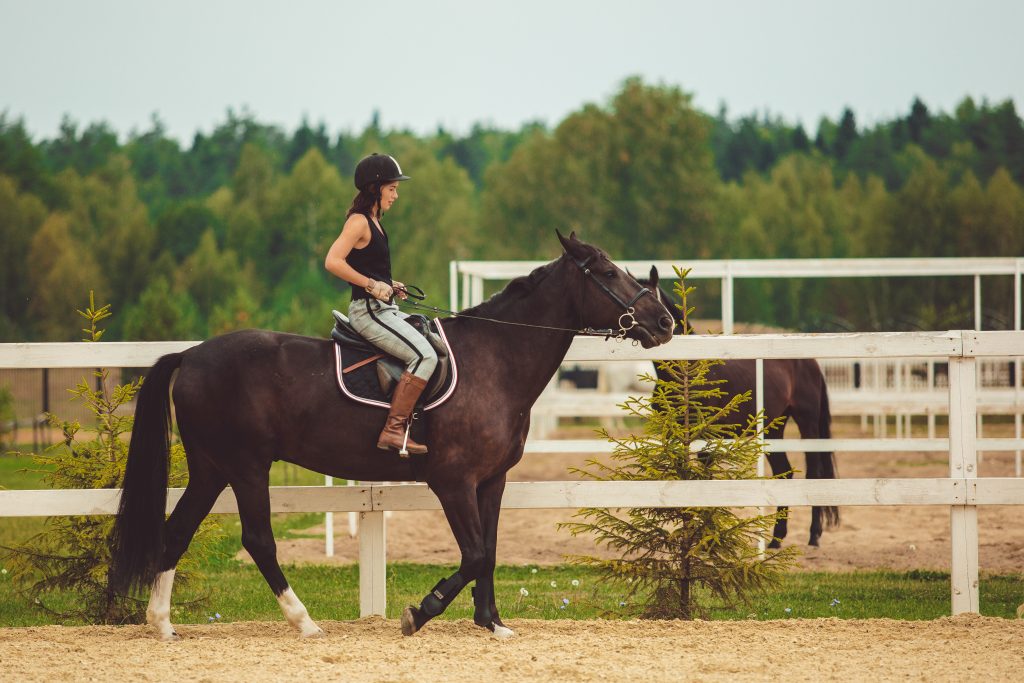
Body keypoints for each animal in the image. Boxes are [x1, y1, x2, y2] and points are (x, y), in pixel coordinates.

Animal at [107, 231, 674, 640]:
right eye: (607, 272)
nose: (665, 322)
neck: (494, 360)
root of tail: (191, 355)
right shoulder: (453, 481)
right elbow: (474, 554)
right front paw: (420, 612)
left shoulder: (491, 482)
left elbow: (489, 550)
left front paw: (492, 623)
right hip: (246, 467)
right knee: (258, 540)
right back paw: (304, 622)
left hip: (211, 468)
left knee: (176, 533)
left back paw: (163, 625)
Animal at [639, 266, 839, 547]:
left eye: (649, 295)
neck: (688, 372)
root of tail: (810, 362)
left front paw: (705, 539)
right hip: (773, 428)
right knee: (784, 473)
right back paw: (776, 540)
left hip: (807, 422)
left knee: (814, 474)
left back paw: (813, 536)